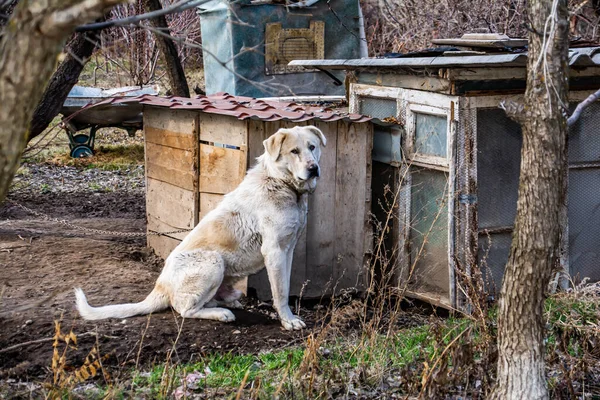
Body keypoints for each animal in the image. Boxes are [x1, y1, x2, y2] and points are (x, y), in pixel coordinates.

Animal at [78, 126, 328, 332]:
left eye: (312, 147)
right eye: (294, 151)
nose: (313, 168)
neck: (281, 183)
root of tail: (160, 286)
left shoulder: (288, 249)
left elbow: (285, 283)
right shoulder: (274, 251)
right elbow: (281, 292)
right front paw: (288, 321)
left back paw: (227, 302)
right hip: (213, 261)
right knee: (185, 310)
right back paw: (221, 313)